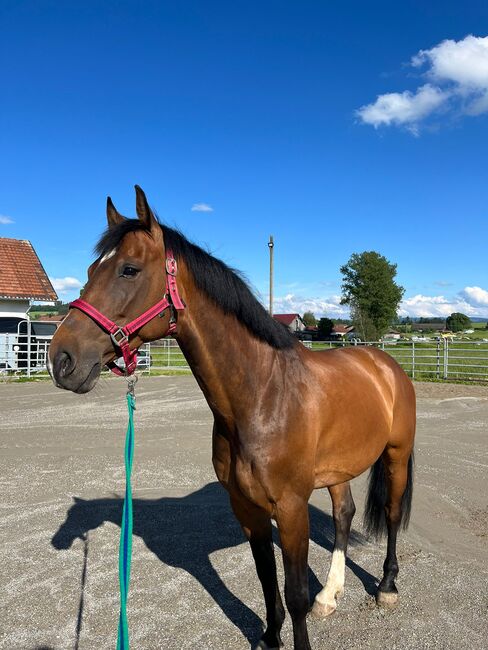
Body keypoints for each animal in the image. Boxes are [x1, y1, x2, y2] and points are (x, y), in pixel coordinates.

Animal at [49, 185, 416, 648]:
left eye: (128, 270)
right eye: (89, 269)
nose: (61, 360)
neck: (261, 396)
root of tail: (383, 363)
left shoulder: (290, 510)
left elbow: (294, 593)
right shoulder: (247, 508)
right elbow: (265, 580)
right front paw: (270, 636)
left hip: (396, 454)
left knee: (391, 514)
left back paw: (386, 588)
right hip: (339, 468)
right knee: (344, 514)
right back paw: (330, 596)